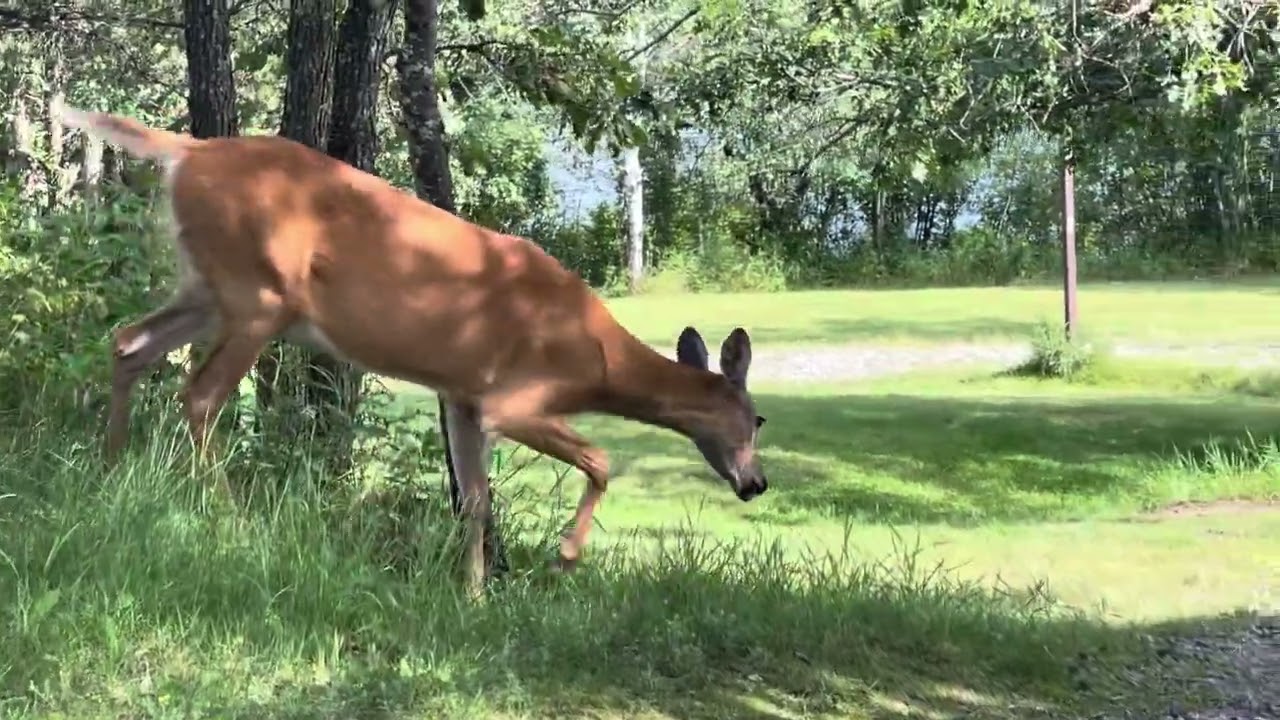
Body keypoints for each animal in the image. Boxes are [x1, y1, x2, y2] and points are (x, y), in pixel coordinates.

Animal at [52, 100, 769, 594]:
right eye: (758, 418)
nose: (757, 483)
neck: (599, 360)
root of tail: (187, 151)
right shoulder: (516, 398)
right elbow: (599, 459)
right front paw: (563, 561)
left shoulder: (462, 396)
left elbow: (476, 498)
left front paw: (473, 594)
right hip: (257, 295)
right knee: (198, 397)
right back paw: (232, 525)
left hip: (209, 286)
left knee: (128, 344)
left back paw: (107, 475)